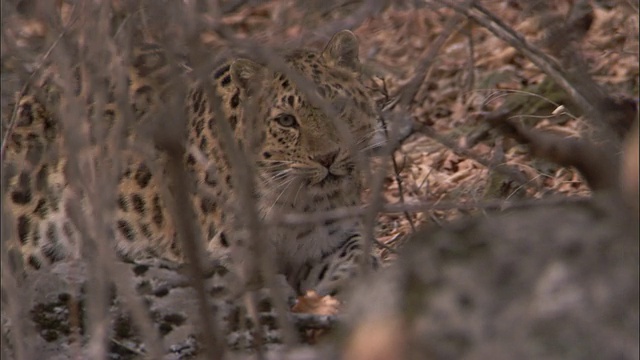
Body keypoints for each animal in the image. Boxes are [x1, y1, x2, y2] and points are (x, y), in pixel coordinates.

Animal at [2, 30, 382, 296]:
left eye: (338, 105)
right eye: (287, 121)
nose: (328, 157)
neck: (299, 202)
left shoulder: (328, 240)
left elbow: (358, 252)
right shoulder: (225, 260)